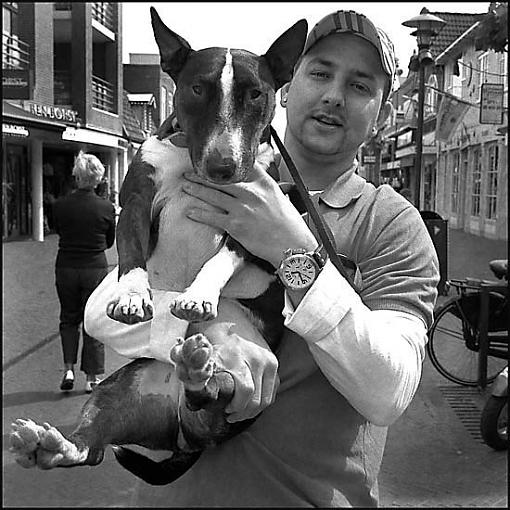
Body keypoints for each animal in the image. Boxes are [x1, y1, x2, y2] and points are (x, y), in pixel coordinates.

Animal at [10, 6, 306, 486]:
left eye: (256, 95)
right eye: (197, 87)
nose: (223, 167)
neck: (190, 160)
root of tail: (182, 431)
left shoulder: (257, 223)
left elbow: (220, 260)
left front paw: (198, 297)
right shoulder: (135, 203)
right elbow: (131, 257)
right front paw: (132, 297)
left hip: (236, 400)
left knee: (215, 395)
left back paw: (198, 369)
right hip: (118, 392)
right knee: (91, 447)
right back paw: (51, 444)